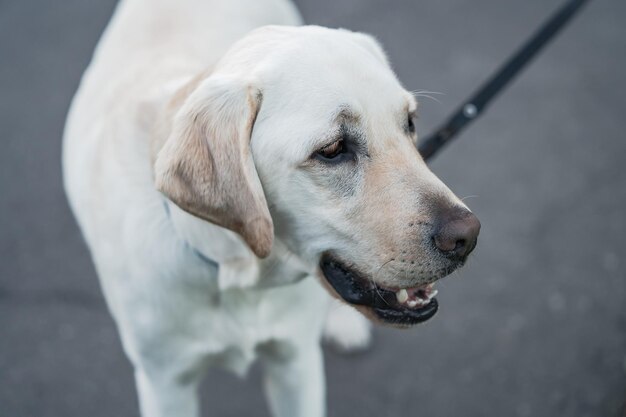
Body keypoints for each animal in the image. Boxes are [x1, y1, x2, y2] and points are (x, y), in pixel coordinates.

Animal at [63, 0, 480, 416]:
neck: (237, 274)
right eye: (332, 149)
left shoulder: (296, 362)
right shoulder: (165, 384)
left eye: (409, 123)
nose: (468, 236)